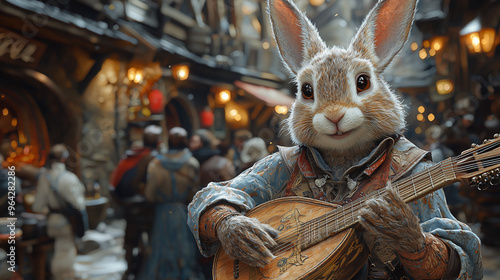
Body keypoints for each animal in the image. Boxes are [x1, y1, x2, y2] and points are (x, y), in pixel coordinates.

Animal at [187, 0, 480, 278]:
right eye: (307, 90)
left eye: (363, 82)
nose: (334, 116)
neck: (343, 159)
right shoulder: (276, 162)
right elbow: (216, 191)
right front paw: (240, 234)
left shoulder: (421, 169)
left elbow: (458, 239)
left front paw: (399, 225)